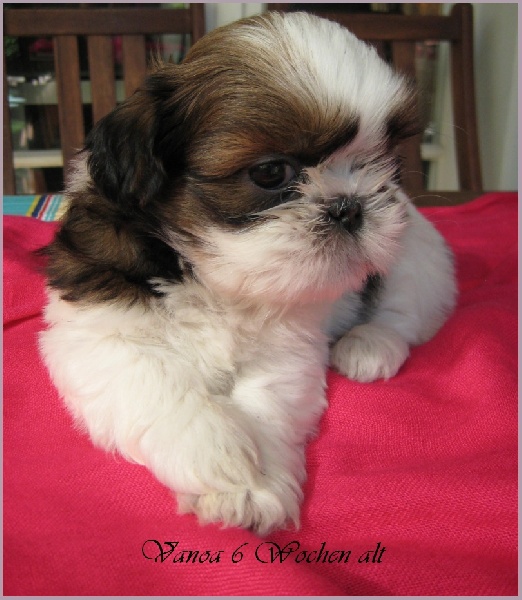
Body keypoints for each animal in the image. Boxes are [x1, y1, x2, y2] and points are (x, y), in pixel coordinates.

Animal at [39, 11, 456, 534]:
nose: (350, 205)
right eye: (271, 173)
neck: (218, 280)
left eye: (386, 162)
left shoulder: (287, 350)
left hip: (413, 251)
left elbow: (266, 403)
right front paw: (219, 459)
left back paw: (367, 346)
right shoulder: (99, 332)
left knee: (405, 312)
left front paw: (258, 484)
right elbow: (158, 382)